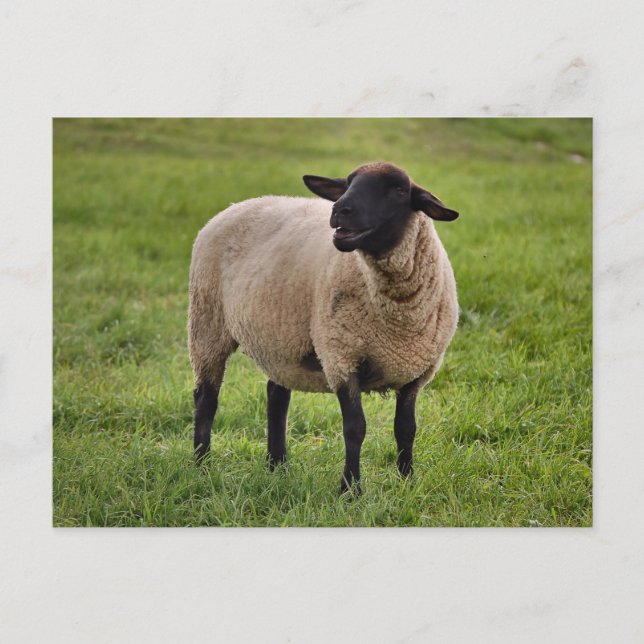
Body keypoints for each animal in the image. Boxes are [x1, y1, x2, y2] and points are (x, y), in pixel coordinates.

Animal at [188, 162, 459, 494]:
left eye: (398, 190)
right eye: (348, 183)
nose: (340, 209)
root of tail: (236, 205)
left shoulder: (418, 372)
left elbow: (406, 429)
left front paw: (407, 481)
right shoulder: (341, 356)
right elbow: (355, 429)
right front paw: (350, 489)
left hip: (281, 336)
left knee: (276, 396)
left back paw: (277, 465)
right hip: (207, 324)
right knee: (206, 399)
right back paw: (202, 465)